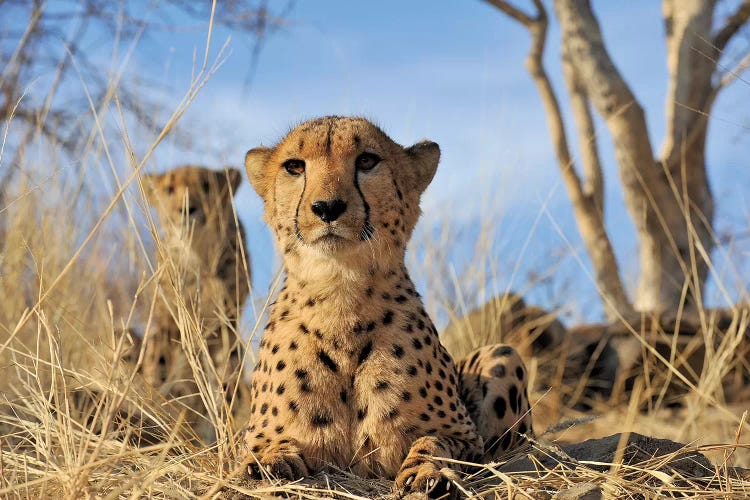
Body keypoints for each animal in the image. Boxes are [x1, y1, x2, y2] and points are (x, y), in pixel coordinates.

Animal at [134, 166, 251, 436]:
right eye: (169, 188)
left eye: (206, 186)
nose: (187, 208)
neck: (198, 252)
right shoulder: (173, 321)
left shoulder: (225, 325)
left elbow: (223, 375)